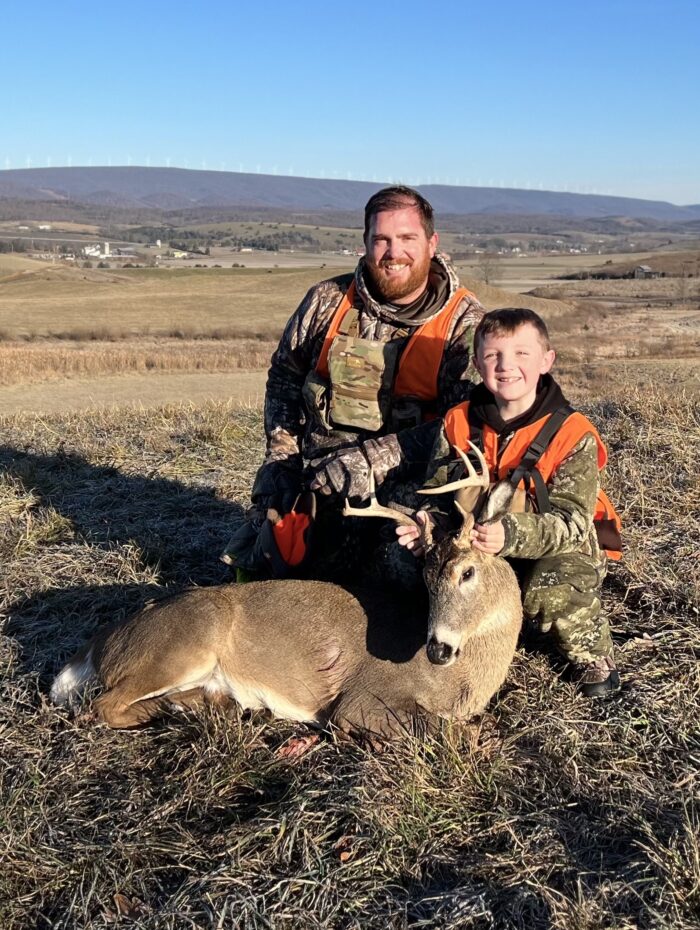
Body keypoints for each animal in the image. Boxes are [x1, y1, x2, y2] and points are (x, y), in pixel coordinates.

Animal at [52, 442, 524, 732]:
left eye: (467, 572)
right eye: (426, 579)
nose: (437, 649)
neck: (463, 682)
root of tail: (99, 643)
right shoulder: (361, 699)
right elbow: (449, 731)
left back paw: (211, 706)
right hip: (183, 642)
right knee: (101, 706)